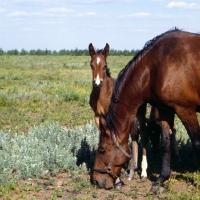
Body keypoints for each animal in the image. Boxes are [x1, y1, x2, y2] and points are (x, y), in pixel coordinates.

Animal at [93, 27, 200, 192]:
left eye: (102, 151)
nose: (96, 180)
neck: (157, 66)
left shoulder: (186, 110)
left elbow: (197, 142)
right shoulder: (165, 110)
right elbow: (165, 144)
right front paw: (161, 179)